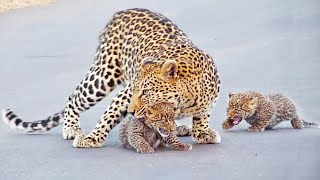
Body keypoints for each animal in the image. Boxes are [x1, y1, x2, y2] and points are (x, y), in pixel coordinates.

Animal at [1, 7, 221, 147]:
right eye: (137, 91)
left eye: (146, 92)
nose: (132, 112)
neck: (185, 99)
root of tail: (123, 11)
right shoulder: (124, 95)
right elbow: (108, 117)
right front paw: (91, 139)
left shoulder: (209, 99)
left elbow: (203, 115)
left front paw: (203, 133)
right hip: (103, 75)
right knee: (74, 97)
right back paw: (71, 128)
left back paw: (180, 127)